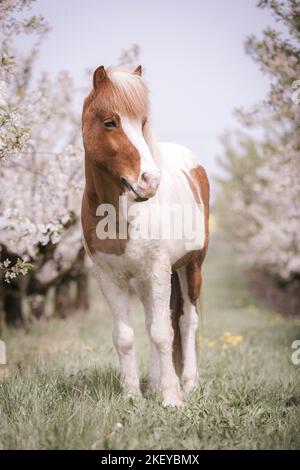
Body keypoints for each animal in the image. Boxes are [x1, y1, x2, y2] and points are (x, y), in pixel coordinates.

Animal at [81, 64, 210, 406]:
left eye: (142, 123)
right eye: (110, 122)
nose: (150, 181)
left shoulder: (158, 269)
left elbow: (164, 333)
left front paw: (172, 399)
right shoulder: (109, 276)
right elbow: (126, 337)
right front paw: (132, 396)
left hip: (190, 267)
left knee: (186, 322)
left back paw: (188, 383)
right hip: (144, 281)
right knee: (155, 319)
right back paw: (153, 384)